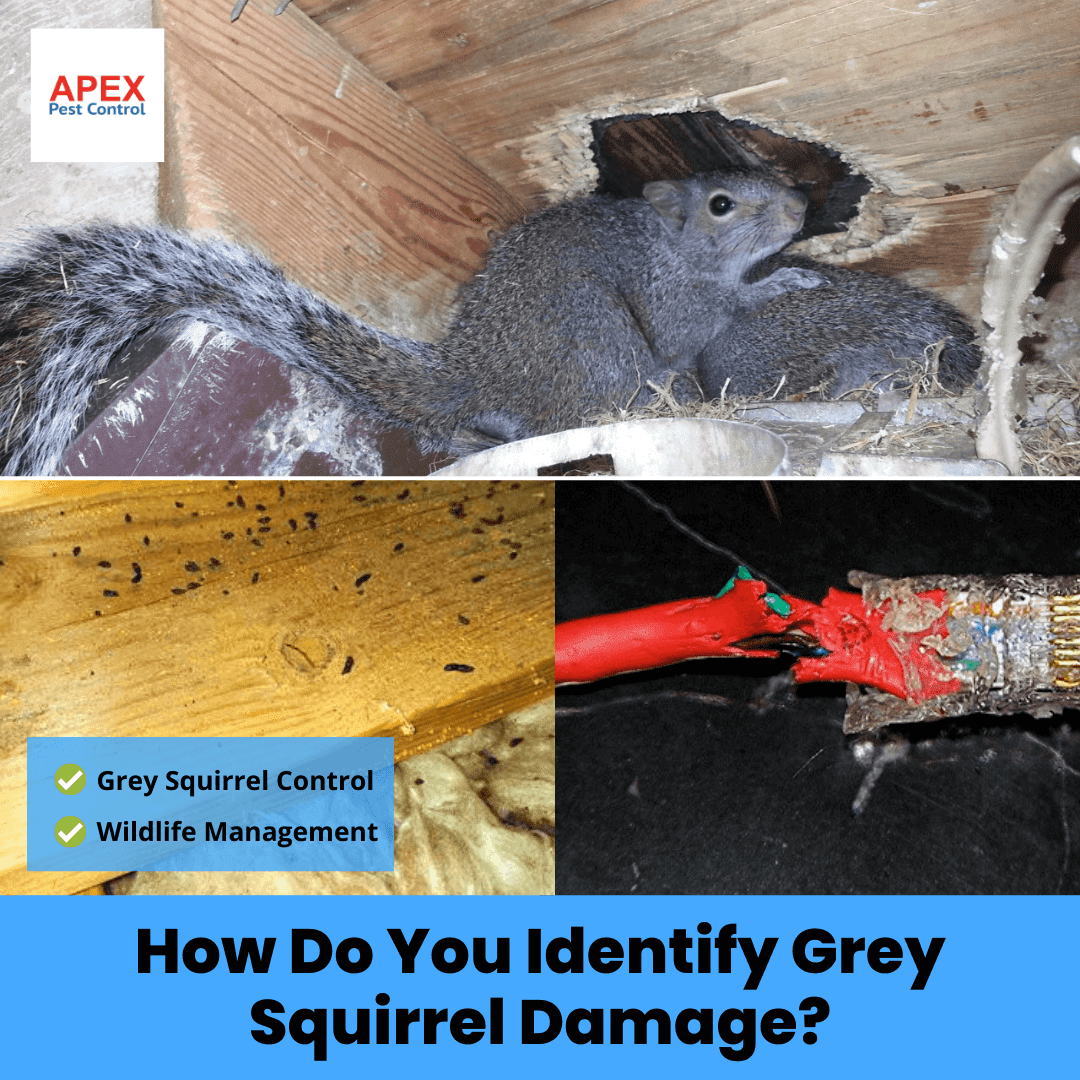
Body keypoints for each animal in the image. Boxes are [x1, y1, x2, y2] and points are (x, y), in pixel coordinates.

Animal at [0, 169, 825, 475]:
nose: (800, 206)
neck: (673, 245)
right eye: (722, 204)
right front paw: (785, 278)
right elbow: (704, 320)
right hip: (601, 346)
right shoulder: (673, 300)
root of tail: (473, 370)